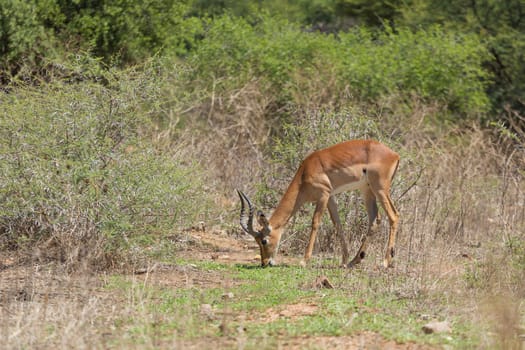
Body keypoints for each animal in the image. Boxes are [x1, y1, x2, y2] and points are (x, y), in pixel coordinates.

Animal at [235, 139, 400, 268]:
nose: (264, 262)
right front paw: (343, 260)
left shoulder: (323, 195)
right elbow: (337, 224)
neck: (304, 175)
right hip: (367, 190)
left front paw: (304, 261)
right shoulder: (331, 197)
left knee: (394, 215)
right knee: (375, 219)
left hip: (380, 189)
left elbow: (315, 223)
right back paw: (354, 261)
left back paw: (385, 262)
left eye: (264, 240)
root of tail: (394, 154)